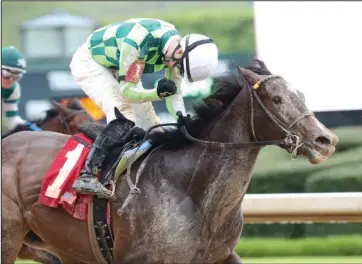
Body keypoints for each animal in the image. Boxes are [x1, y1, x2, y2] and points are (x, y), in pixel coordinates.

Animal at [1, 60, 338, 264]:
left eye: (301, 95)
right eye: (277, 99)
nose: (326, 140)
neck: (191, 191)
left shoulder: (220, 255)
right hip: (10, 239)